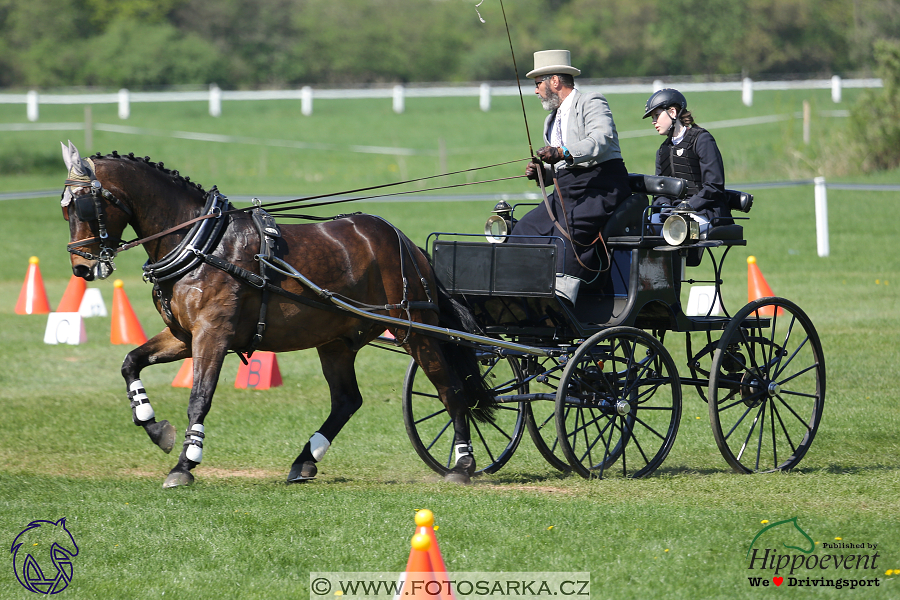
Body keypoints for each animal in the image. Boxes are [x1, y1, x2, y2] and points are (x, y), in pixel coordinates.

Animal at [59, 143, 496, 490]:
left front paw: (185, 463)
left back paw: (463, 462)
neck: (202, 244)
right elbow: (130, 362)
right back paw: (305, 460)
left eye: (83, 205)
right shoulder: (184, 336)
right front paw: (154, 427)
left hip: (413, 329)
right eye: (64, 210)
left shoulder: (212, 334)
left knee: (450, 389)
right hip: (336, 341)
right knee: (347, 400)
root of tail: (406, 243)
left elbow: (199, 397)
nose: (81, 268)